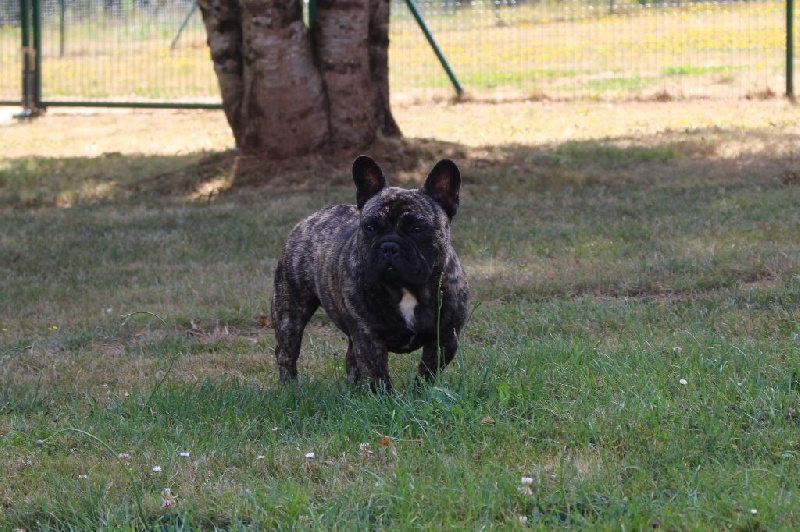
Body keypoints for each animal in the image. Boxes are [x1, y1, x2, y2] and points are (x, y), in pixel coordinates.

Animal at [271, 155, 469, 391]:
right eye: (369, 227)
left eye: (417, 229)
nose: (389, 246)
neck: (406, 288)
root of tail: (312, 216)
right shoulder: (369, 338)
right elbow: (378, 375)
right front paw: (386, 398)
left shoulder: (444, 337)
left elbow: (427, 372)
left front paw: (420, 393)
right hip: (290, 310)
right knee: (286, 352)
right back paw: (290, 388)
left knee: (350, 358)